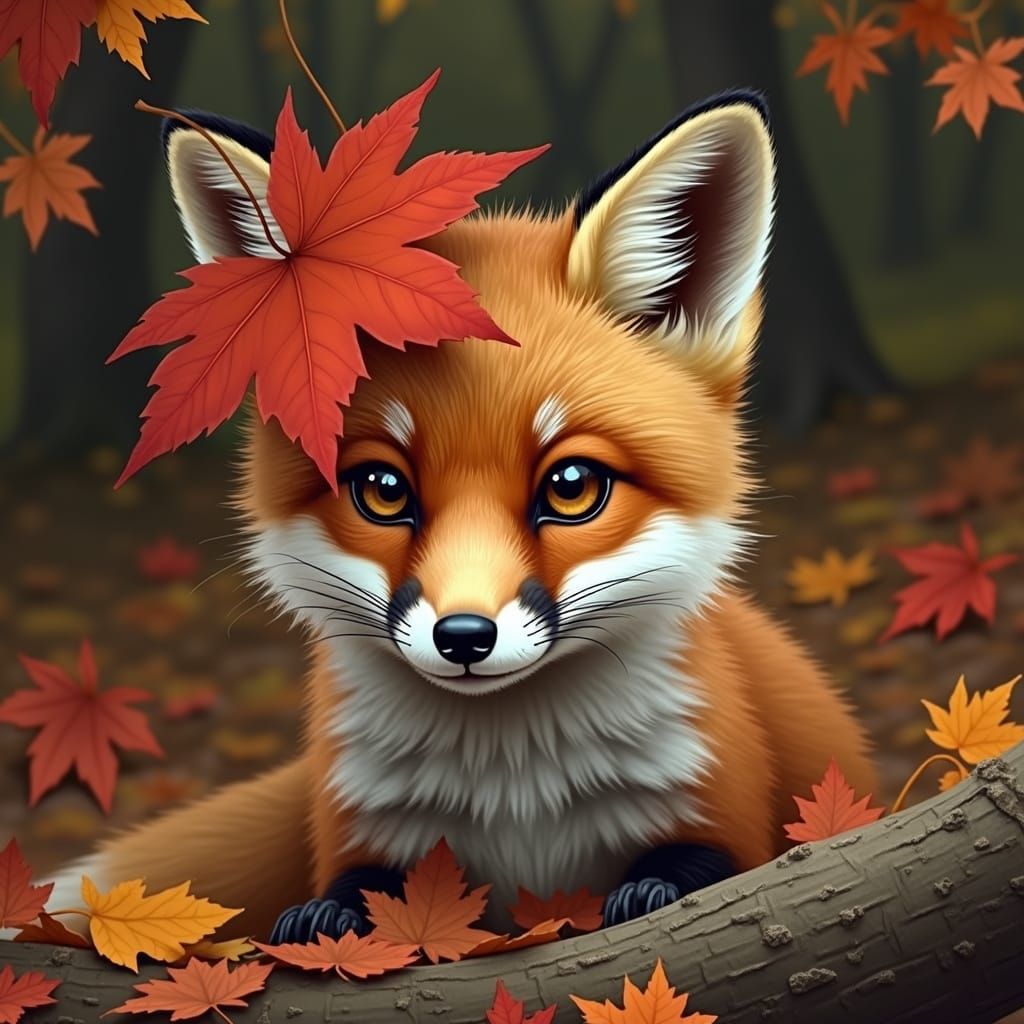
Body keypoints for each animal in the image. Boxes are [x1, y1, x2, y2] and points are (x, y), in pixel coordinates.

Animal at [42, 89, 876, 942]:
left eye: (572, 485)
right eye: (382, 489)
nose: (465, 637)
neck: (518, 794)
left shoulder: (722, 797)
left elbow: (707, 865)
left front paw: (651, 893)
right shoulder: (366, 827)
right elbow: (358, 892)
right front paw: (326, 920)